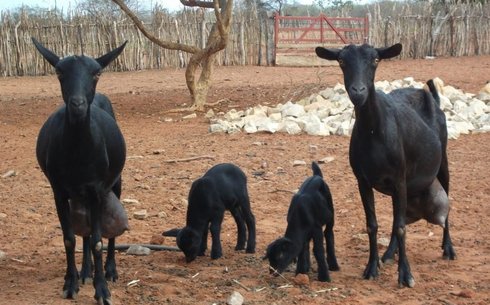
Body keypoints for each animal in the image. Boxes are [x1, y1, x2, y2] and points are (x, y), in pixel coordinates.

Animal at [32, 36, 127, 302]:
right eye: (59, 72)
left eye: (96, 73)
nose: (77, 104)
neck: (77, 154)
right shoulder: (59, 191)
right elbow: (69, 239)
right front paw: (70, 283)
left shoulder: (96, 189)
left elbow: (97, 241)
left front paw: (102, 290)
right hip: (79, 195)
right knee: (83, 231)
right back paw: (85, 272)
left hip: (115, 183)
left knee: (107, 233)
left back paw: (109, 270)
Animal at [316, 43, 458, 288]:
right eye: (341, 61)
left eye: (375, 60)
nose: (358, 91)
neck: (375, 132)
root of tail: (433, 99)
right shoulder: (363, 181)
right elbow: (373, 224)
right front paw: (371, 268)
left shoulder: (400, 178)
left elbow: (401, 227)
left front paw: (406, 275)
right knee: (395, 217)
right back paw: (390, 253)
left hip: (442, 162)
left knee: (446, 200)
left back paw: (448, 248)